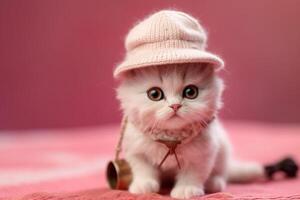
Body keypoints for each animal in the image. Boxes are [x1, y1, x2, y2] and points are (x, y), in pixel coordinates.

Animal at [116, 62, 264, 198]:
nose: (175, 106)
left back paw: (213, 183)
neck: (170, 138)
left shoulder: (202, 155)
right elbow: (143, 170)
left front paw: (186, 190)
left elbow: (192, 174)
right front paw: (144, 186)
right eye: (154, 94)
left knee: (222, 173)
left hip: (223, 150)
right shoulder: (137, 152)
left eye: (190, 92)